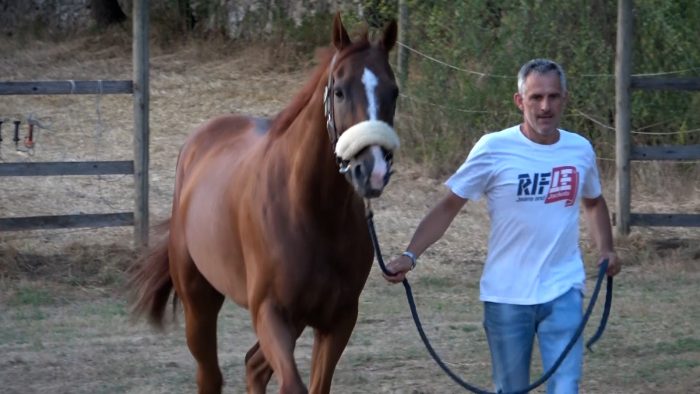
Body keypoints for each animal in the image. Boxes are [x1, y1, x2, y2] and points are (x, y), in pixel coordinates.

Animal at [128, 13, 396, 392]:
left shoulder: (338, 320)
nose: (372, 171)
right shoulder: (271, 313)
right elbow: (292, 385)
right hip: (200, 303)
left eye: (393, 92)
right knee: (211, 374)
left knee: (253, 365)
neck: (312, 212)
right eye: (340, 91)